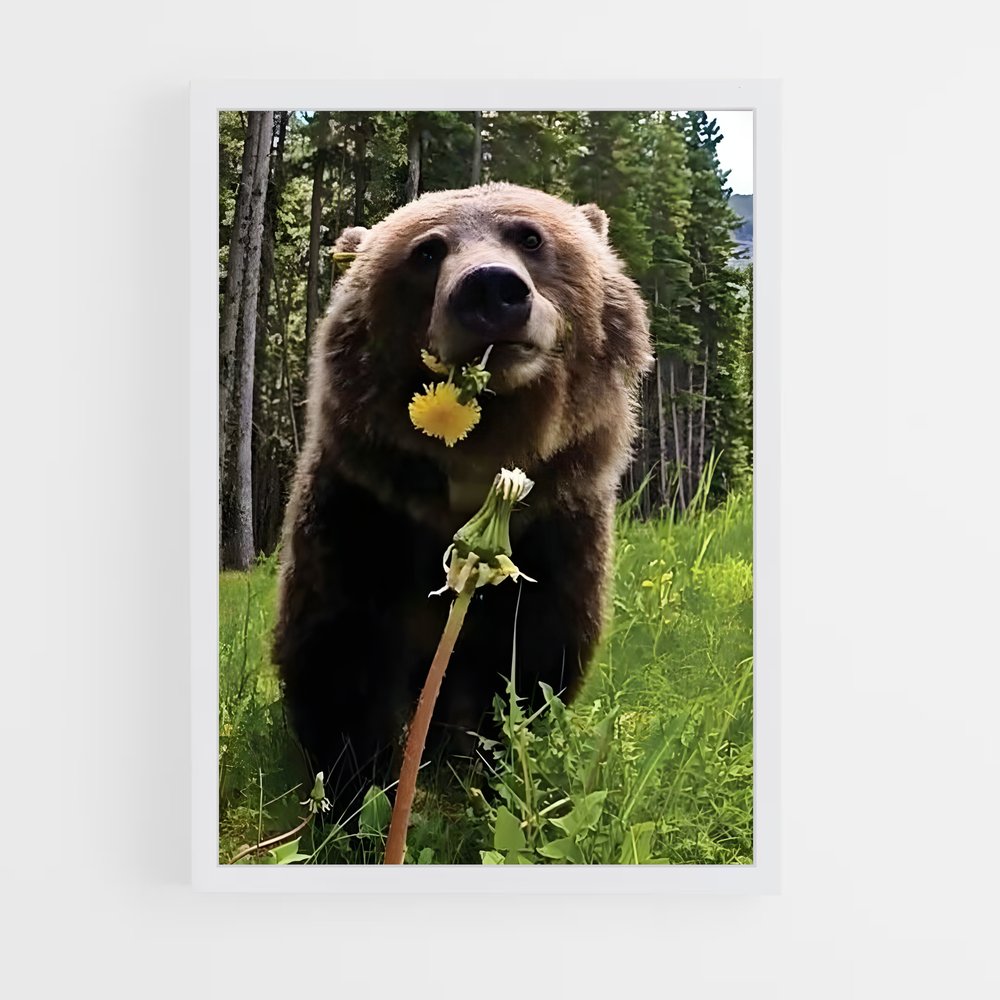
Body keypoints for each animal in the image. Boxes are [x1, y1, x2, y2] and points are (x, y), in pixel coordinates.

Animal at [272, 182, 652, 815]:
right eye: (426, 251)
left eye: (529, 236)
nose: (491, 288)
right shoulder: (362, 513)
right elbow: (338, 651)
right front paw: (359, 791)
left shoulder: (556, 527)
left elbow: (529, 660)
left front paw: (489, 770)